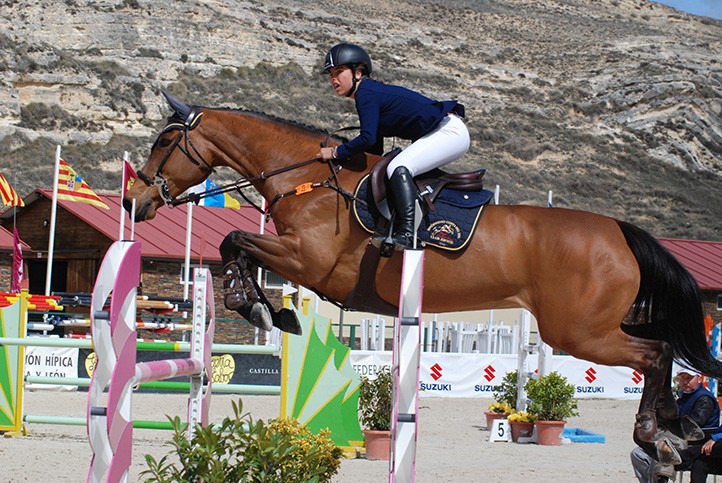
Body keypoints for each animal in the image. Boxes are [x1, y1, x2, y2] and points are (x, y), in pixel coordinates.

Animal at [125, 92, 720, 452]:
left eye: (164, 142)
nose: (135, 201)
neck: (309, 178)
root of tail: (619, 231)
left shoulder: (309, 262)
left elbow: (234, 240)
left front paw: (253, 304)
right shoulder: (297, 260)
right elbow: (238, 246)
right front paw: (268, 309)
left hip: (576, 330)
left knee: (656, 353)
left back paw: (655, 432)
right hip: (590, 325)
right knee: (664, 346)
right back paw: (681, 424)